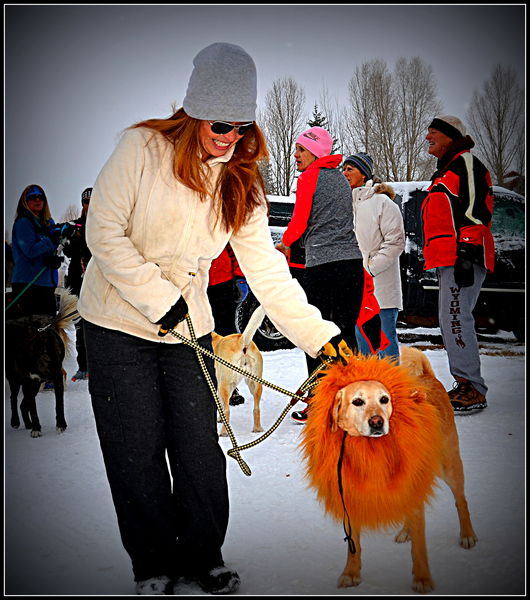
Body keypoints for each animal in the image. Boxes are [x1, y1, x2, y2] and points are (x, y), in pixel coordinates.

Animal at [5, 288, 78, 438]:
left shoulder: (56, 378)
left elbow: (59, 404)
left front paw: (61, 425)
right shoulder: (29, 381)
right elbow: (33, 409)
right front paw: (36, 428)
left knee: (21, 402)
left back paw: (26, 423)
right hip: (19, 379)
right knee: (15, 398)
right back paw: (17, 421)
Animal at [209, 304, 264, 436]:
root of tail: (242, 340)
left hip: (225, 385)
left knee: (227, 411)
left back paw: (224, 432)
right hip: (254, 384)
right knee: (256, 408)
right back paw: (257, 429)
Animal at [300, 346, 476, 596]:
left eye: (384, 400)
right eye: (357, 402)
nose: (377, 422)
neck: (370, 451)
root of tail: (428, 377)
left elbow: (419, 548)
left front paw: (422, 579)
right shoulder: (351, 497)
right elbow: (354, 546)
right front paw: (351, 573)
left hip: (449, 465)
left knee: (461, 501)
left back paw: (467, 535)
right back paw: (406, 531)